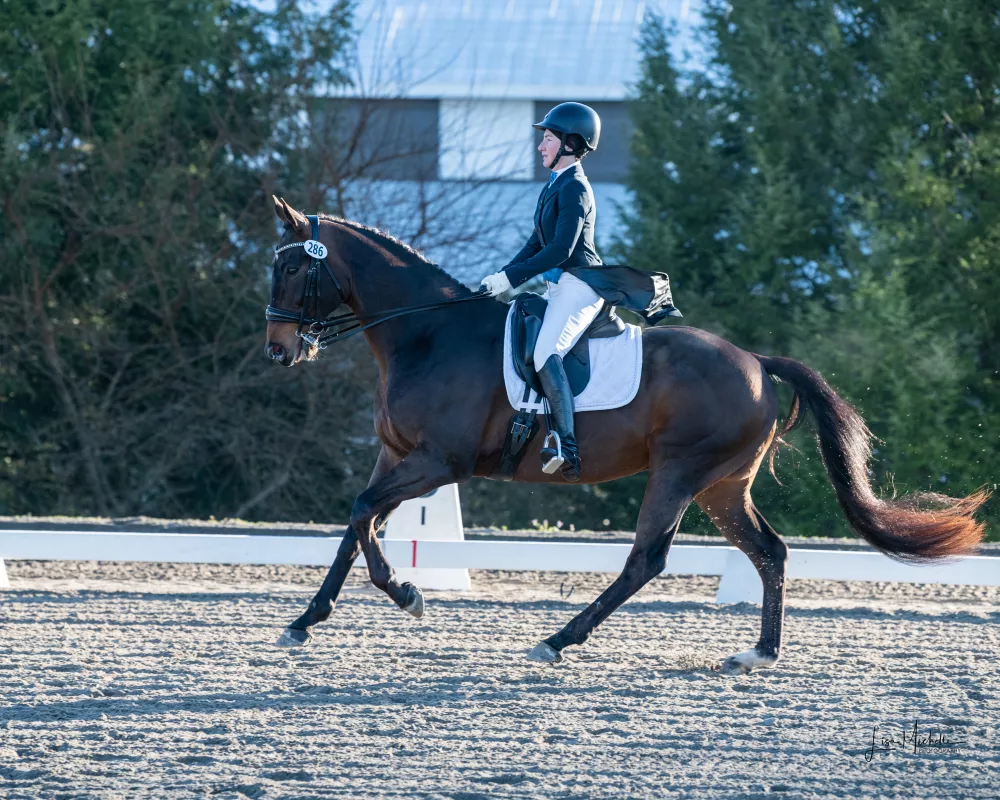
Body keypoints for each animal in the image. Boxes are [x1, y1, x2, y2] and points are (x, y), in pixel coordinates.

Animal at [262, 197, 988, 672]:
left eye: (293, 269)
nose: (278, 351)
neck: (427, 332)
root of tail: (757, 362)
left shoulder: (440, 462)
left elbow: (363, 515)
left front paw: (404, 596)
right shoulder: (396, 456)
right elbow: (359, 524)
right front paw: (311, 619)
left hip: (678, 472)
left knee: (648, 559)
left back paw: (557, 641)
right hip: (723, 486)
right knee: (770, 551)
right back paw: (758, 653)